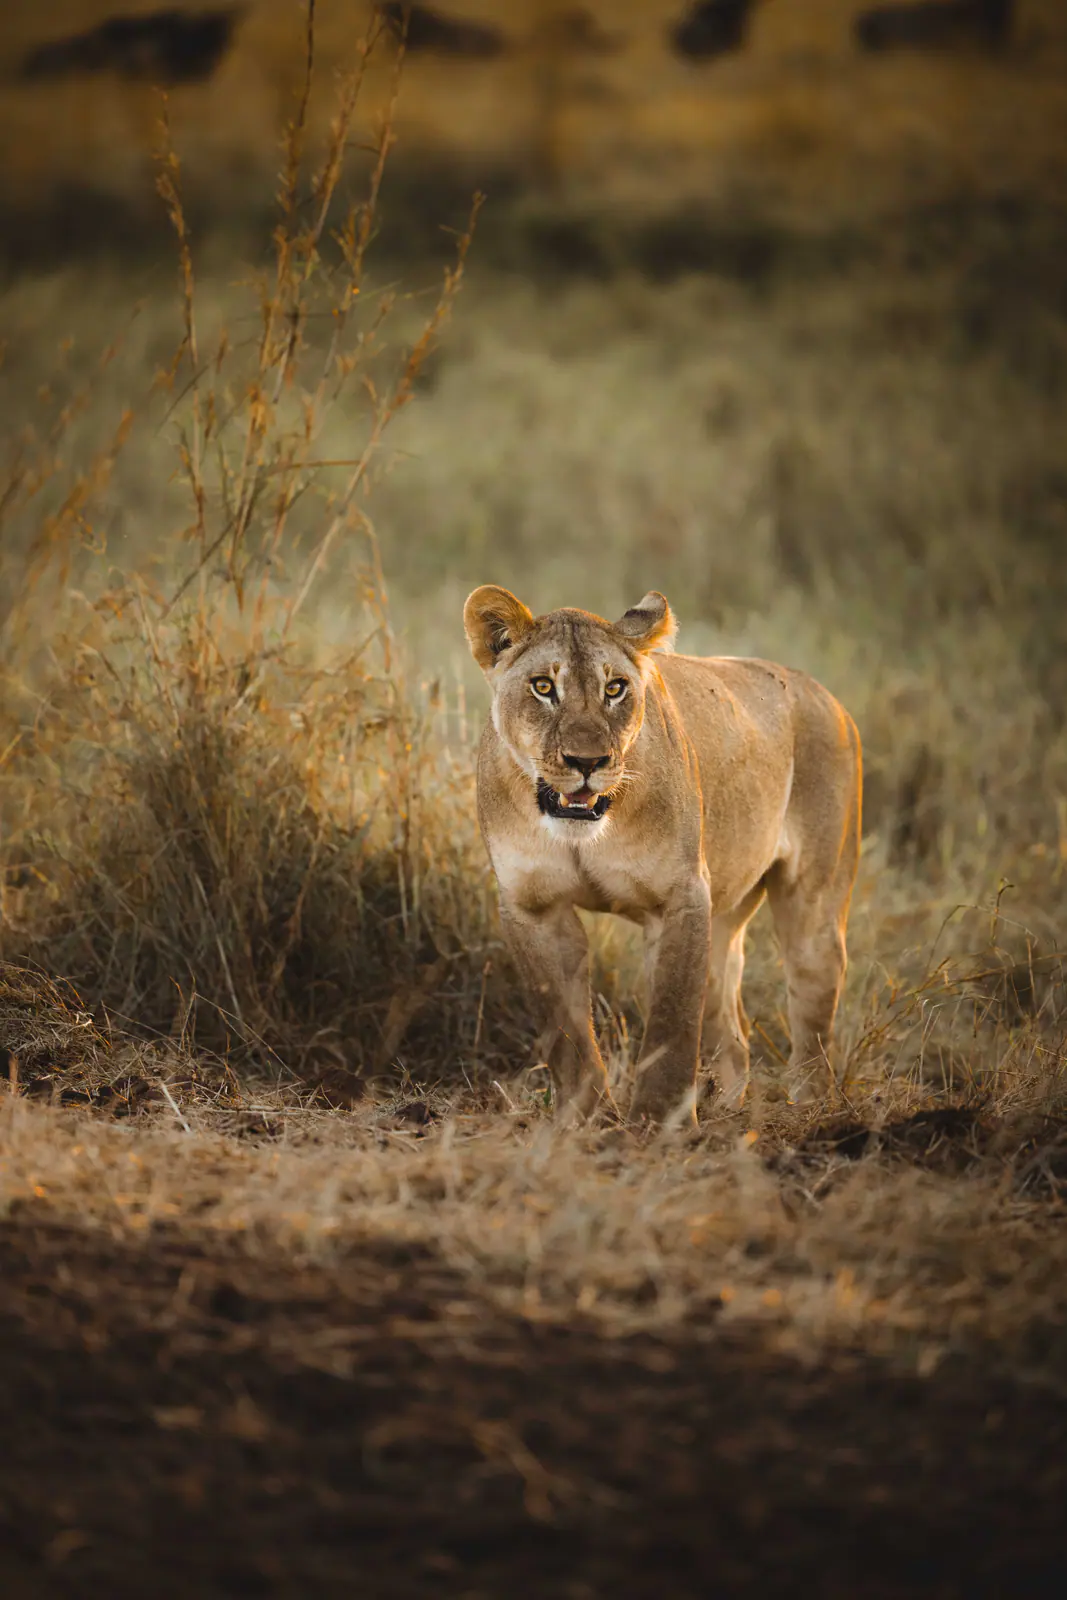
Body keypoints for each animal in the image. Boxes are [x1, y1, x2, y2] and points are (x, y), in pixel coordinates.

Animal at [463, 586, 862, 1125]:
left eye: (615, 689)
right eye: (543, 686)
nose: (587, 762)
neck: (584, 833)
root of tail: (828, 697)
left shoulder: (681, 897)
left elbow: (673, 1023)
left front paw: (660, 1123)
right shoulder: (534, 907)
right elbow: (565, 1031)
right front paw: (587, 1121)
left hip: (814, 906)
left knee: (813, 1019)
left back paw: (812, 1111)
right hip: (725, 916)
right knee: (733, 1031)